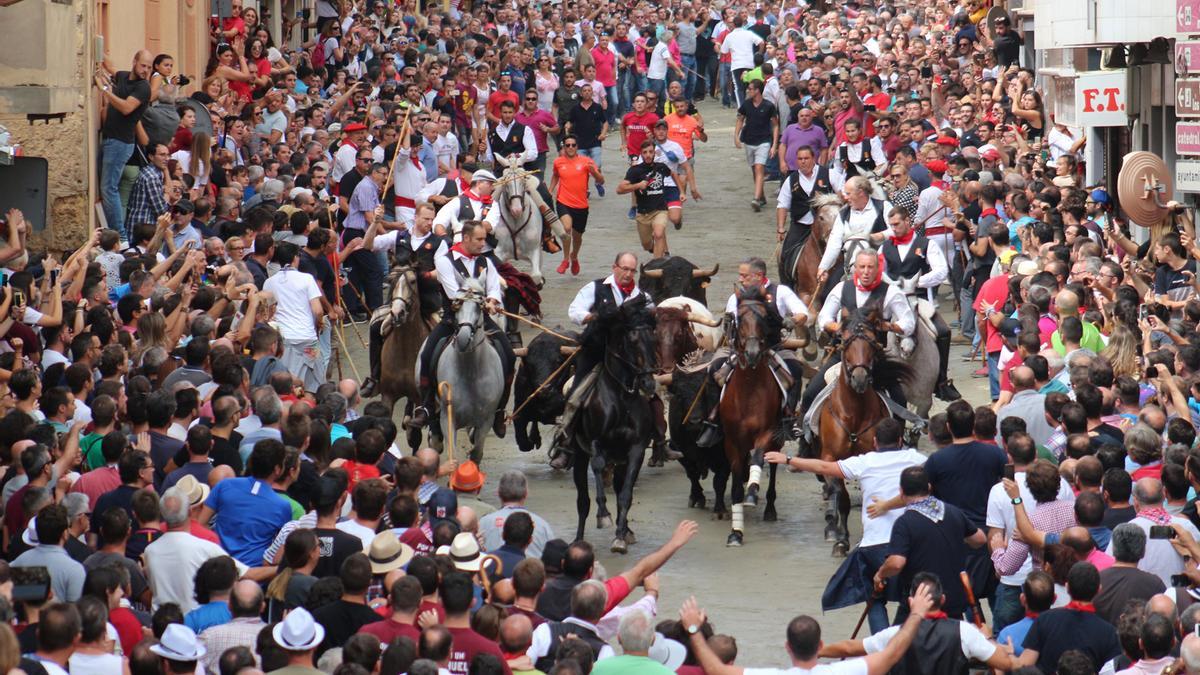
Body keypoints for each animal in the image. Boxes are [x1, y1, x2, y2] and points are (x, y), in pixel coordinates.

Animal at [379, 265, 432, 449]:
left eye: (413, 281)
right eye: (391, 280)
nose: (397, 313)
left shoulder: (419, 398)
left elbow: (416, 433)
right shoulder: (387, 395)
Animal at [429, 273, 504, 461]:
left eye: (480, 306)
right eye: (457, 303)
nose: (463, 339)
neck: (471, 372)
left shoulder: (486, 420)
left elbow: (477, 452)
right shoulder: (447, 418)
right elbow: (453, 454)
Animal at [568, 295, 657, 552]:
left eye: (653, 338)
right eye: (632, 339)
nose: (649, 383)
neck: (622, 397)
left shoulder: (636, 450)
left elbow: (625, 495)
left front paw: (620, 536)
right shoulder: (595, 443)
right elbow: (598, 469)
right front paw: (603, 515)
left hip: (620, 461)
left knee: (619, 490)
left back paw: (625, 530)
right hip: (579, 456)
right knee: (582, 500)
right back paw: (578, 539)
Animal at [715, 284, 782, 547]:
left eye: (765, 317)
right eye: (739, 318)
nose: (753, 352)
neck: (750, 390)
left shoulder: (767, 433)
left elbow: (759, 458)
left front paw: (752, 493)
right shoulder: (732, 442)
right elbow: (734, 487)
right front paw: (736, 532)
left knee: (772, 465)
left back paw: (769, 507)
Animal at [820, 307, 912, 554]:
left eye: (871, 341)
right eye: (844, 340)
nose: (860, 379)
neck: (853, 413)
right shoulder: (830, 457)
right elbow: (840, 495)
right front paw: (841, 540)